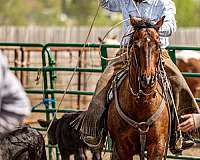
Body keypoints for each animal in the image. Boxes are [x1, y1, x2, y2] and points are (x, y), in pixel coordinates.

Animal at [107, 16, 170, 160]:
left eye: (158, 45)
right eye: (136, 45)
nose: (147, 79)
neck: (143, 102)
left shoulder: (157, 146)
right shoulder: (122, 147)